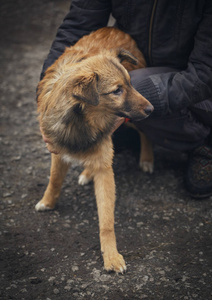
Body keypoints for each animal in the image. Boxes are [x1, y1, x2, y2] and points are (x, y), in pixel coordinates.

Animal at [35, 27, 153, 274]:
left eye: (131, 83)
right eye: (117, 90)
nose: (152, 108)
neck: (82, 122)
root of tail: (115, 28)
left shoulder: (105, 168)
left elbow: (106, 219)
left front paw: (111, 256)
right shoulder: (58, 149)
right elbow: (54, 180)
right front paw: (48, 202)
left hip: (129, 121)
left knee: (144, 132)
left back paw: (147, 159)